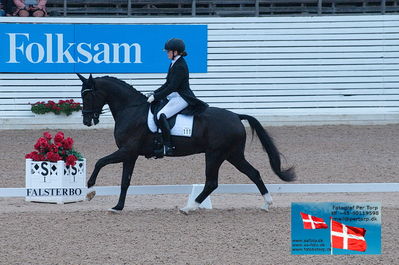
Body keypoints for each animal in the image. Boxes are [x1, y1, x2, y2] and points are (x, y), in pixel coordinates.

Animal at [78, 73, 296, 212]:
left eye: (88, 94)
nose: (87, 120)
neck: (131, 110)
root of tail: (236, 116)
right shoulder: (130, 154)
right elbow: (125, 181)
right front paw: (117, 207)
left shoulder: (127, 151)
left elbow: (100, 162)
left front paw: (89, 189)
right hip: (232, 154)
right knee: (253, 173)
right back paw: (266, 204)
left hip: (215, 154)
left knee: (212, 182)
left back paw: (189, 207)